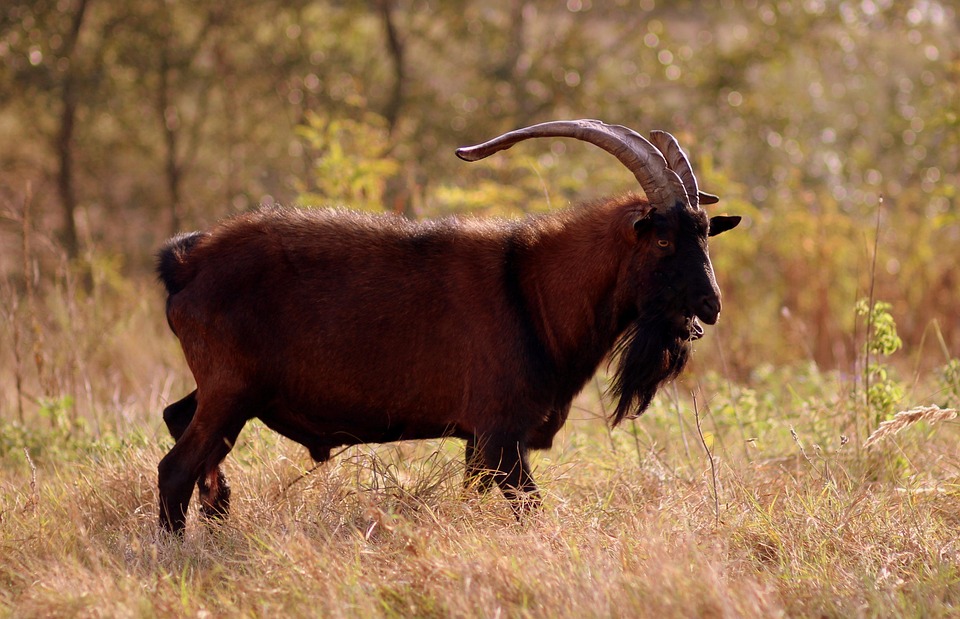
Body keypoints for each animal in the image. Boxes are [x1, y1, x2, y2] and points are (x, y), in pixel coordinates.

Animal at [155, 119, 740, 533]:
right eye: (663, 239)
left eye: (705, 234)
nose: (710, 307)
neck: (530, 288)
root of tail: (187, 262)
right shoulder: (500, 435)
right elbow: (532, 511)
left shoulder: (481, 445)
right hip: (231, 392)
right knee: (174, 468)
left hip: (229, 396)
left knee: (177, 419)